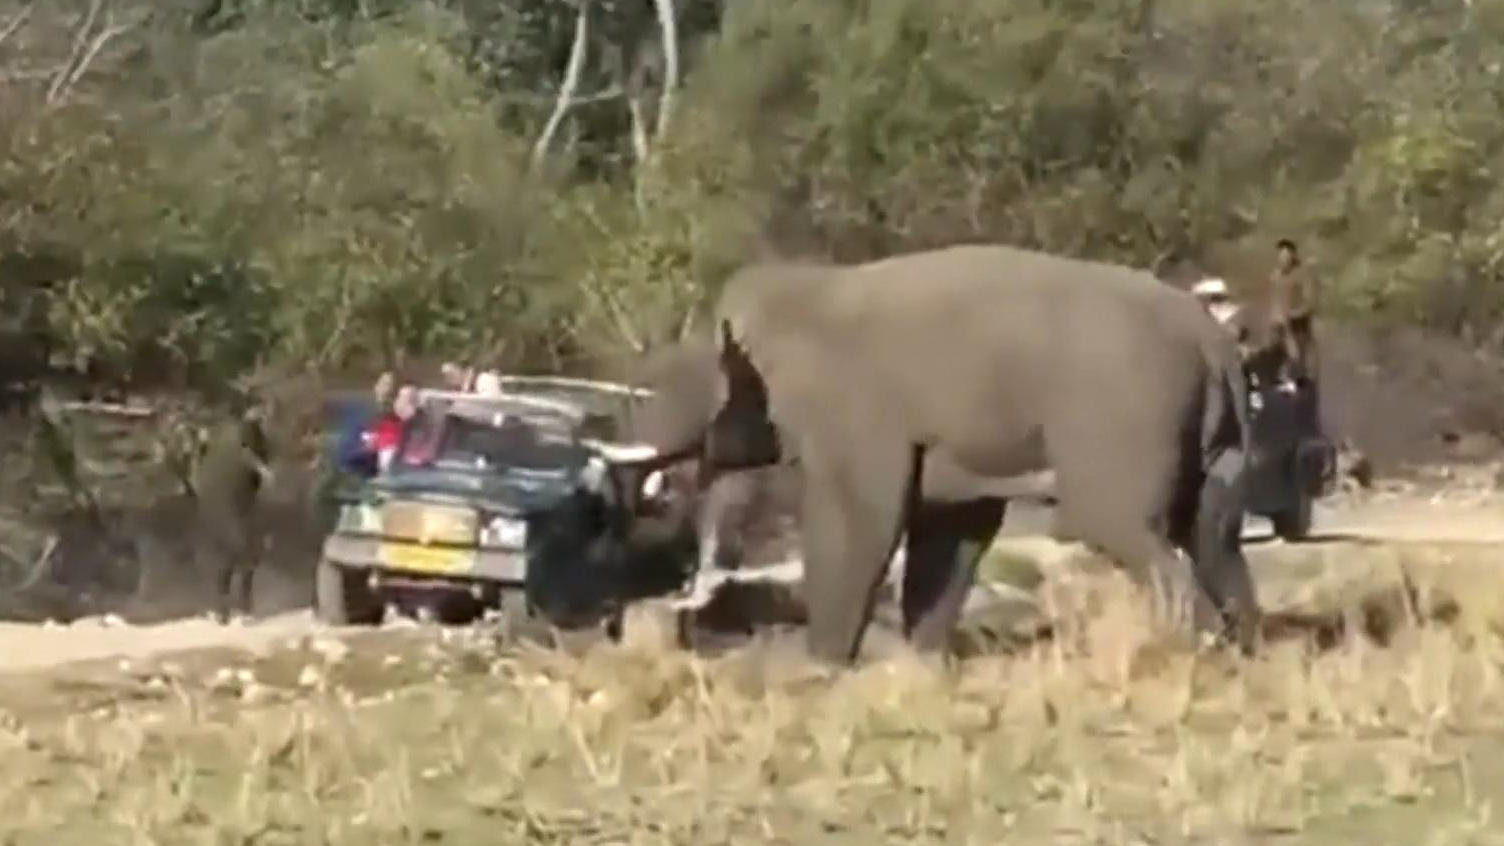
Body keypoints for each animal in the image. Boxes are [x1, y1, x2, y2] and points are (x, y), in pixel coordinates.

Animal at [628, 242, 1263, 665]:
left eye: (712, 359)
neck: (808, 287)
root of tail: (1214, 342)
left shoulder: (858, 410)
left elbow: (862, 521)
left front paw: (822, 670)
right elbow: (950, 529)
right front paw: (921, 665)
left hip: (1121, 420)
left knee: (1120, 524)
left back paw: (1195, 650)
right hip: (1217, 439)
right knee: (1214, 534)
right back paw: (1241, 650)